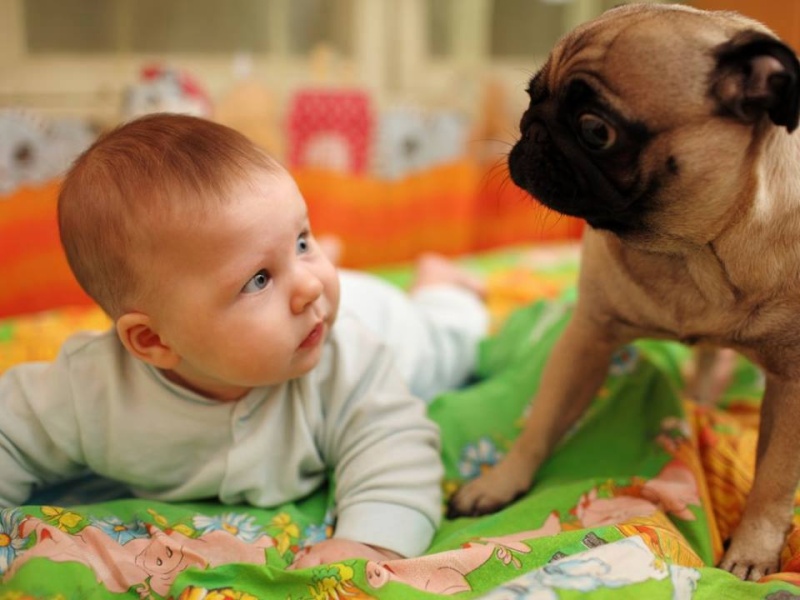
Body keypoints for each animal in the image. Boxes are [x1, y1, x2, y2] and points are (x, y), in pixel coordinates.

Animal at [450, 2, 800, 580]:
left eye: (596, 130)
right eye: (530, 94)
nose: (531, 128)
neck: (692, 253)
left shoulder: (791, 386)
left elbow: (772, 481)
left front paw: (752, 551)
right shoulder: (586, 339)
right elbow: (540, 422)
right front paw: (499, 484)